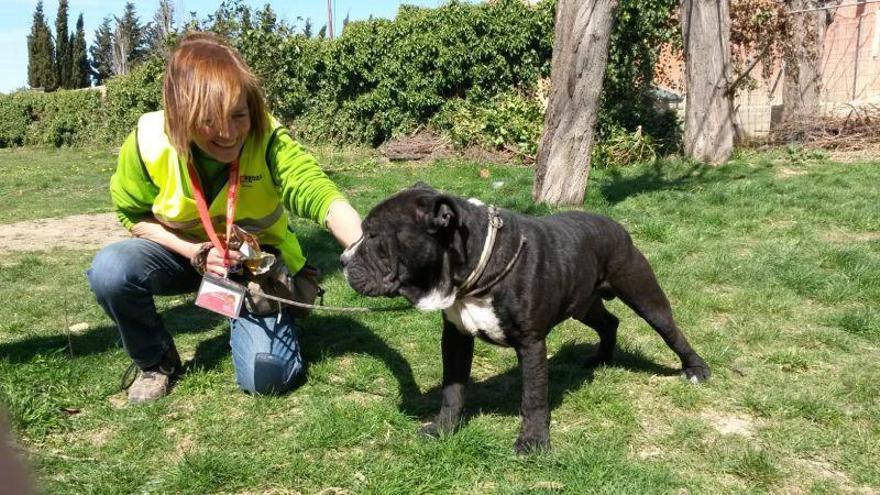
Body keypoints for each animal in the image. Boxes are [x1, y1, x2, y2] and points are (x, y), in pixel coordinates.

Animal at [340, 185, 712, 454]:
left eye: (372, 236)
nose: (342, 259)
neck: (477, 267)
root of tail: (615, 225)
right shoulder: (456, 337)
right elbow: (453, 389)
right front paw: (444, 428)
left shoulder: (531, 343)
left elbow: (533, 396)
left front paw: (533, 442)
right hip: (583, 305)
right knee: (609, 323)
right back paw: (601, 359)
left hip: (642, 293)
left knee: (670, 330)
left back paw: (696, 369)